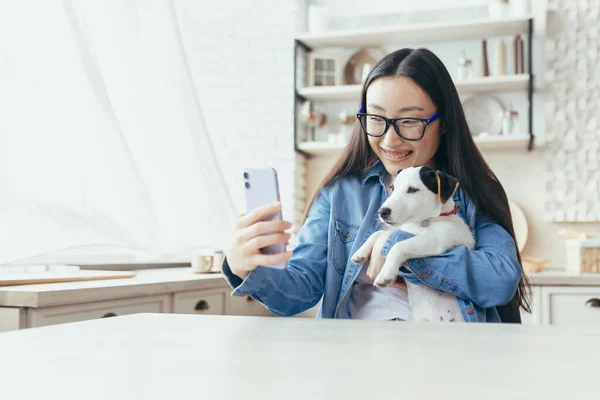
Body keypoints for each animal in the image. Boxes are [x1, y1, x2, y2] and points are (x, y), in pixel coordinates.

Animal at [352, 166, 474, 322]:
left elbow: (398, 246)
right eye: (392, 188)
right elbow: (378, 233)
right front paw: (360, 252)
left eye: (412, 189)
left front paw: (386, 273)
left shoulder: (435, 241)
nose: (381, 212)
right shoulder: (403, 231)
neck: (423, 222)